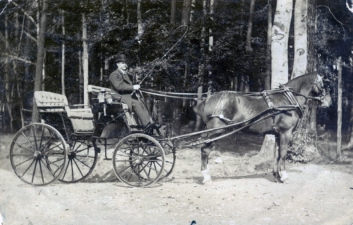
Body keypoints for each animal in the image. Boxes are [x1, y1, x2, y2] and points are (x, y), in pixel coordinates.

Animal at [194, 73, 332, 184]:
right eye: (323, 84)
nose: (329, 101)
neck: (288, 100)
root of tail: (207, 100)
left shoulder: (277, 134)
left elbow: (277, 155)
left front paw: (277, 176)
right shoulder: (285, 133)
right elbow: (283, 154)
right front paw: (284, 176)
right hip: (216, 132)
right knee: (204, 151)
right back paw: (206, 177)